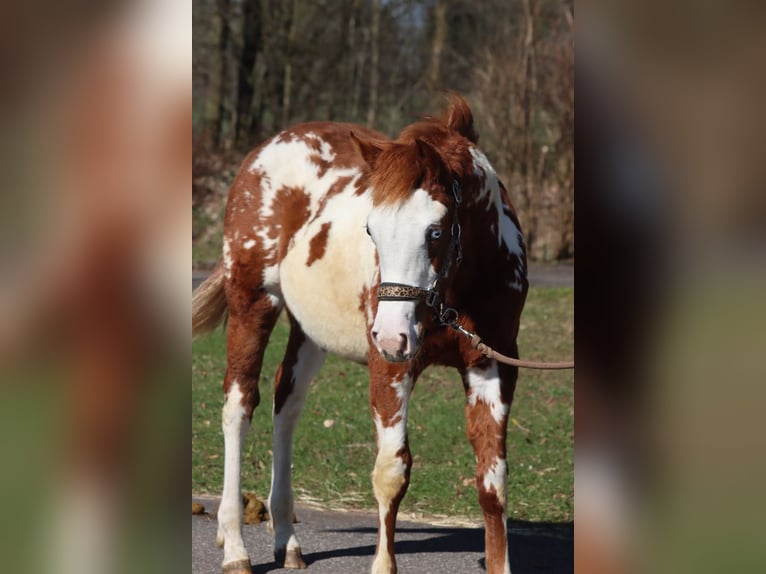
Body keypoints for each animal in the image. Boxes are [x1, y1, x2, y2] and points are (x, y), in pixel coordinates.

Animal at [192, 94, 528, 574]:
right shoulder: (391, 369)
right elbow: (391, 472)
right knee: (238, 406)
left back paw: (286, 540)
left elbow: (492, 479)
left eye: (436, 231)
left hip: (309, 332)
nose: (390, 335)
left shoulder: (492, 368)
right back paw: (235, 545)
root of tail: (264, 150)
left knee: (285, 405)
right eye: (371, 230)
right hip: (252, 303)